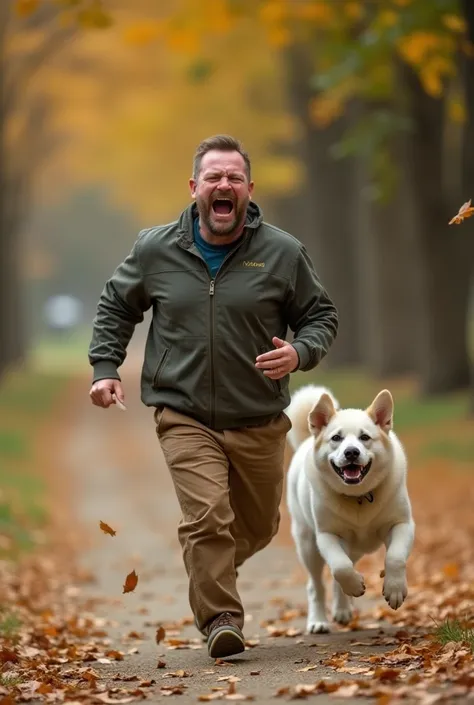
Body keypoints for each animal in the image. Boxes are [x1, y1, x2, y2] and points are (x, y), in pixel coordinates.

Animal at [286, 384, 414, 632]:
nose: (351, 452)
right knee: (316, 585)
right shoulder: (326, 536)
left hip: (353, 549)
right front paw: (355, 585)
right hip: (308, 545)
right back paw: (318, 621)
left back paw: (343, 610)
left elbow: (395, 557)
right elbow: (340, 567)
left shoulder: (402, 524)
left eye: (365, 437)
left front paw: (394, 590)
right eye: (336, 438)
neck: (359, 497)